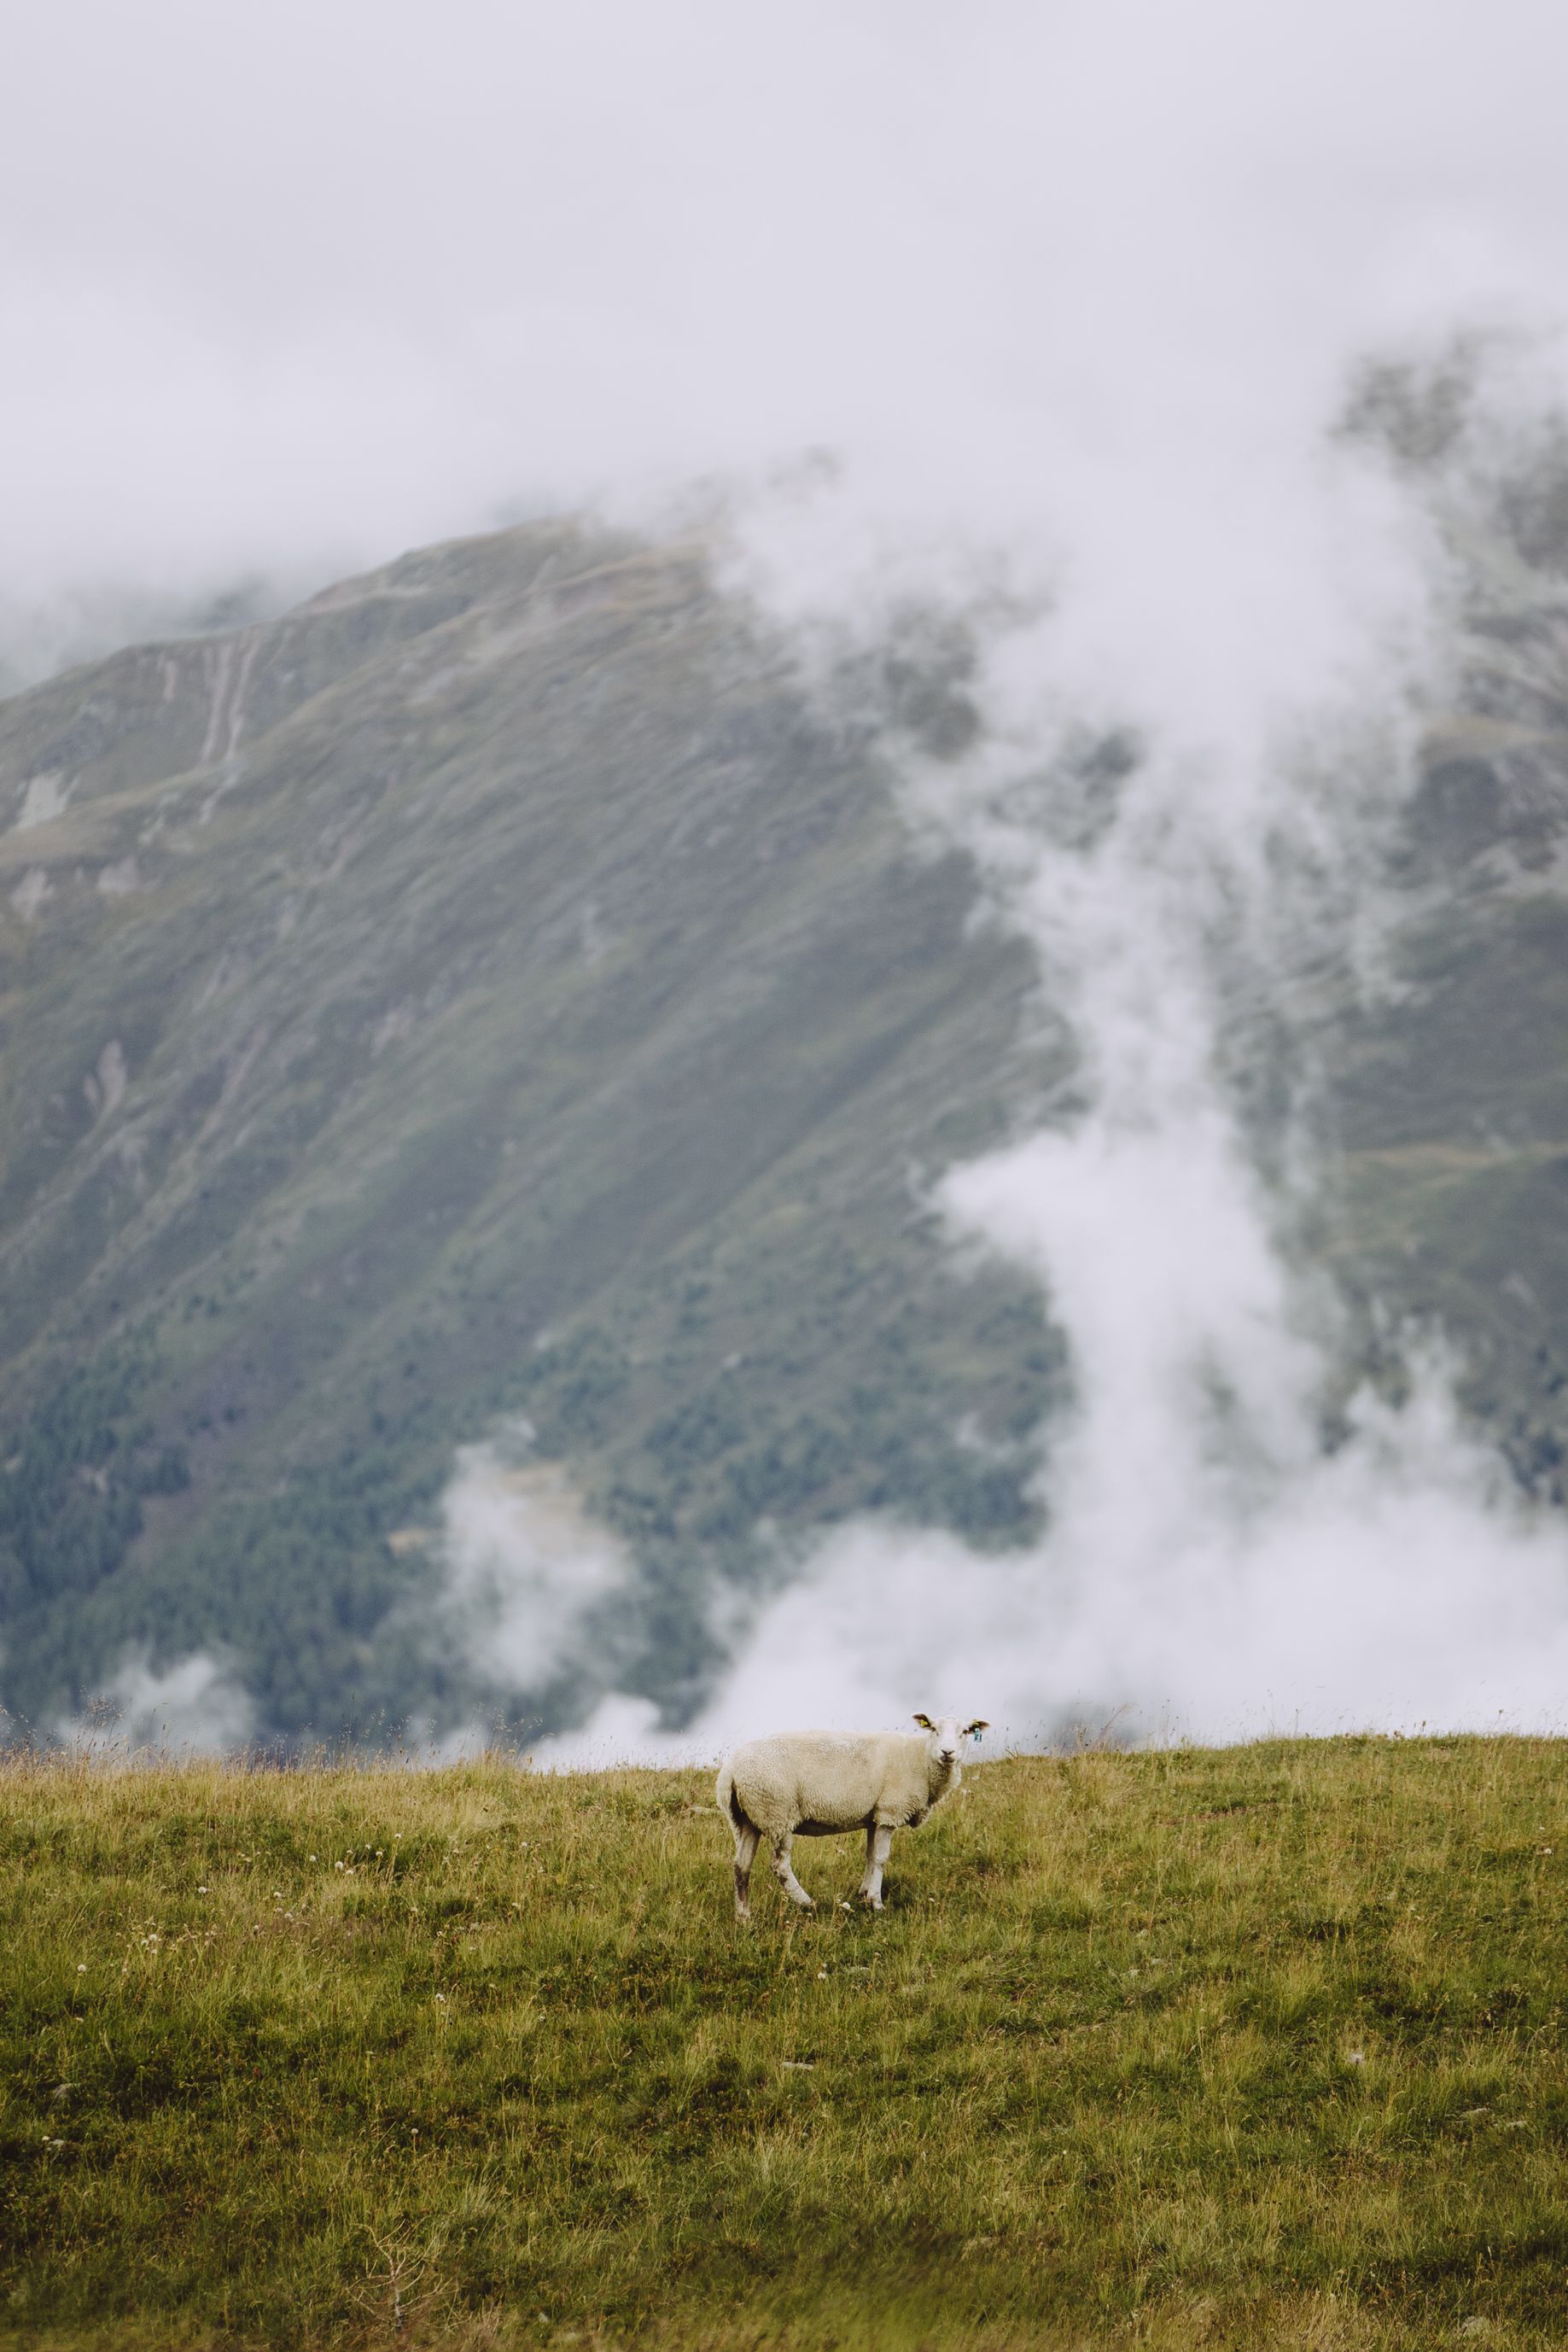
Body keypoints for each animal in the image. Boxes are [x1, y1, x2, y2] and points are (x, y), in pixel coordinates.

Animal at [716, 1712, 989, 1920]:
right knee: (780, 1866)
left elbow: (870, 1857)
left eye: (966, 1731)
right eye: (933, 1728)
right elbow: (880, 1859)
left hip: (748, 1818)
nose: (947, 1752)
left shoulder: (875, 1817)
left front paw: (864, 1894)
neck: (921, 1760)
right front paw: (877, 1903)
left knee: (741, 1866)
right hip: (777, 1812)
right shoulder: (890, 1812)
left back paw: (744, 1917)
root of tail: (730, 1770)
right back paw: (806, 1903)